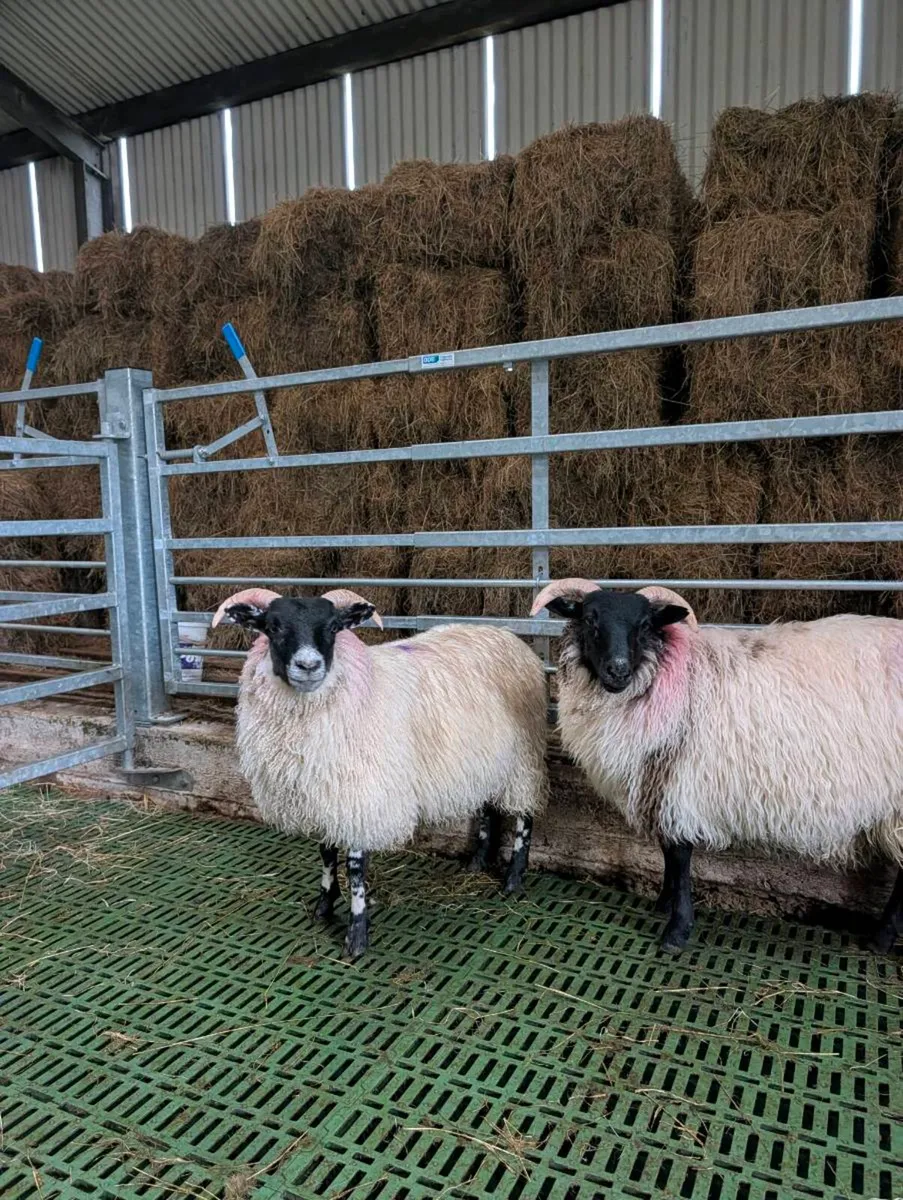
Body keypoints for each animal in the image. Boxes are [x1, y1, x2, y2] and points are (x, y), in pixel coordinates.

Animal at [211, 586, 548, 958]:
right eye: (273, 627)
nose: (309, 665)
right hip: (486, 757)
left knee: (525, 815)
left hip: (523, 755)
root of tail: (506, 635)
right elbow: (326, 853)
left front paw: (356, 936)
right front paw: (324, 906)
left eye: (333, 628)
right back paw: (478, 861)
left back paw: (514, 879)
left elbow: (355, 869)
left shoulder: (362, 793)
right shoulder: (326, 792)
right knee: (489, 806)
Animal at [531, 578, 903, 953]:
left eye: (645, 625)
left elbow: (680, 857)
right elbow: (667, 852)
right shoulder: (659, 783)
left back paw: (881, 940)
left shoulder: (679, 781)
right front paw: (663, 903)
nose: (618, 670)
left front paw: (676, 930)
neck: (668, 672)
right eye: (589, 619)